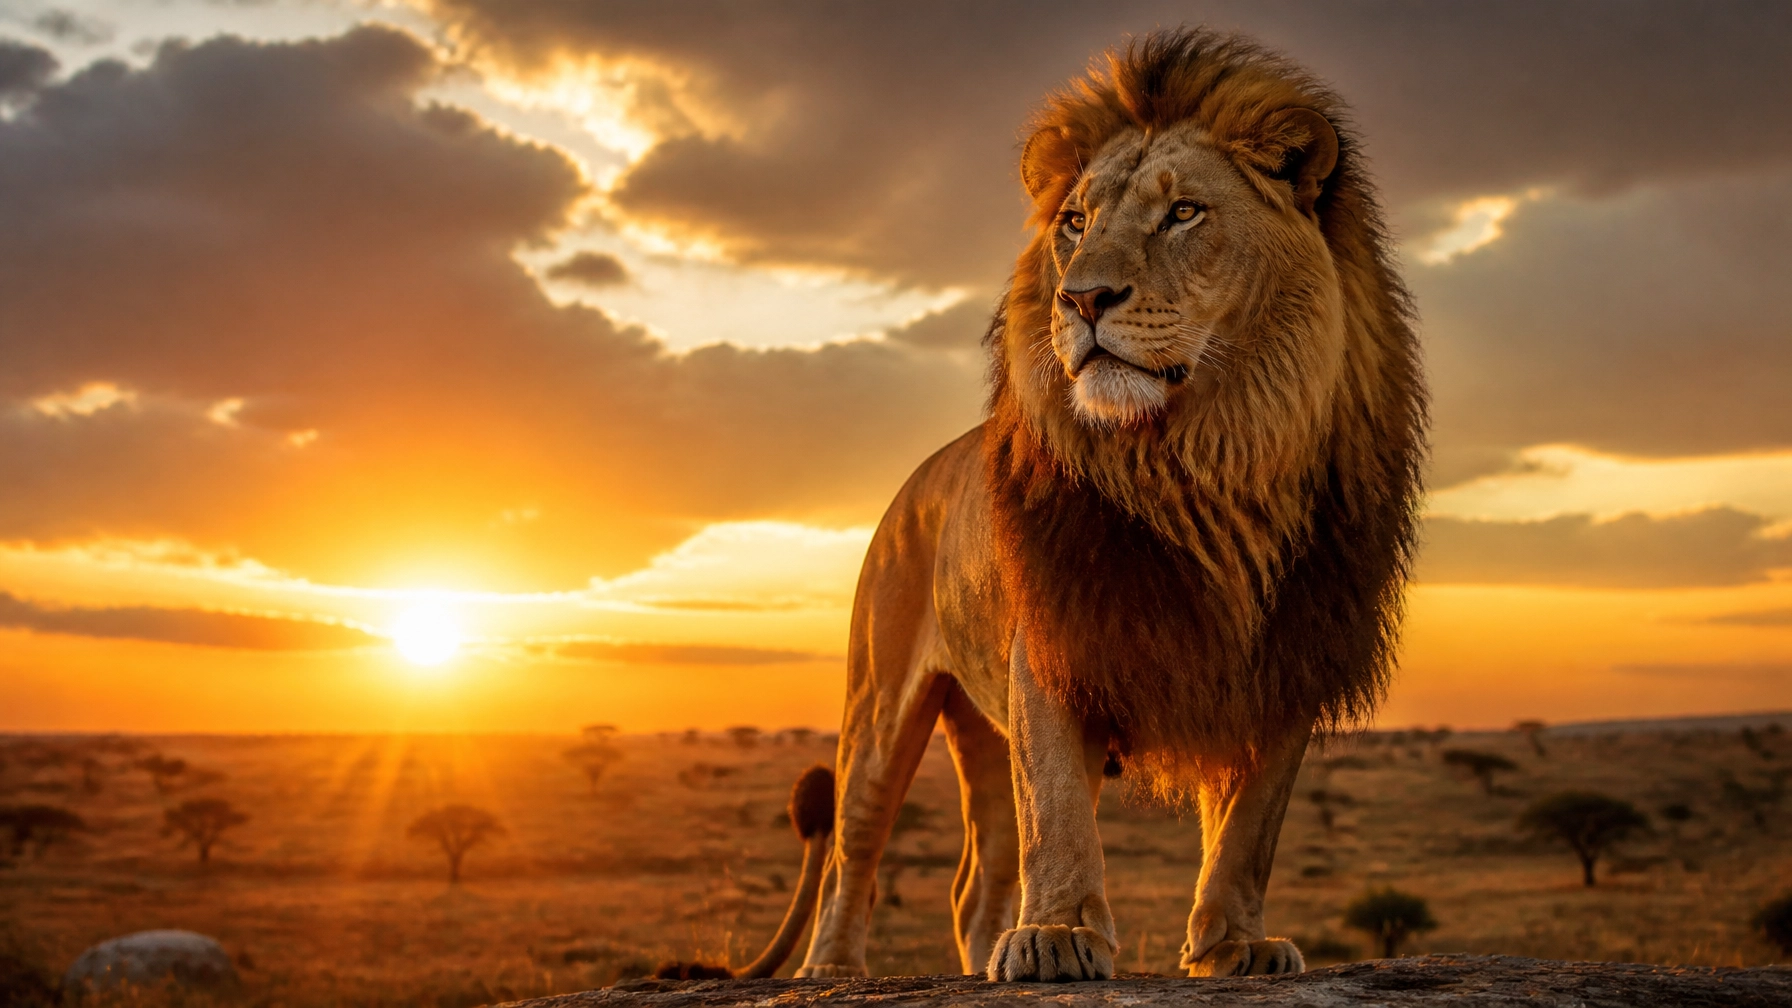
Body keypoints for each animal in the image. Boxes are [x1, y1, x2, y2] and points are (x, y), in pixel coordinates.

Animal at [725, 27, 1425, 982]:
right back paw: (833, 971)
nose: (1082, 297)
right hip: (878, 704)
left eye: (1184, 214)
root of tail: (915, 481)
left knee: (975, 880)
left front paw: (1234, 946)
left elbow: (1251, 826)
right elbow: (1056, 804)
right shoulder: (1058, 635)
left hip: (978, 728)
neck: (1208, 460)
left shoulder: (1292, 653)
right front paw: (1057, 936)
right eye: (1075, 224)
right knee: (855, 848)